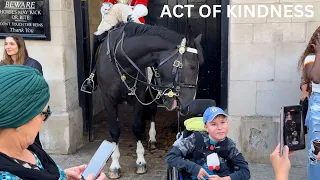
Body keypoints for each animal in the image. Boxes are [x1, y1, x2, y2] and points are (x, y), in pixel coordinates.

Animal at [95, 21, 204, 178]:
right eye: (193, 66)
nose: (189, 104)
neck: (121, 60)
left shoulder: (139, 97)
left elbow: (137, 126)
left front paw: (140, 161)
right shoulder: (108, 100)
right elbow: (115, 130)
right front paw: (115, 165)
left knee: (152, 111)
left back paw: (151, 138)